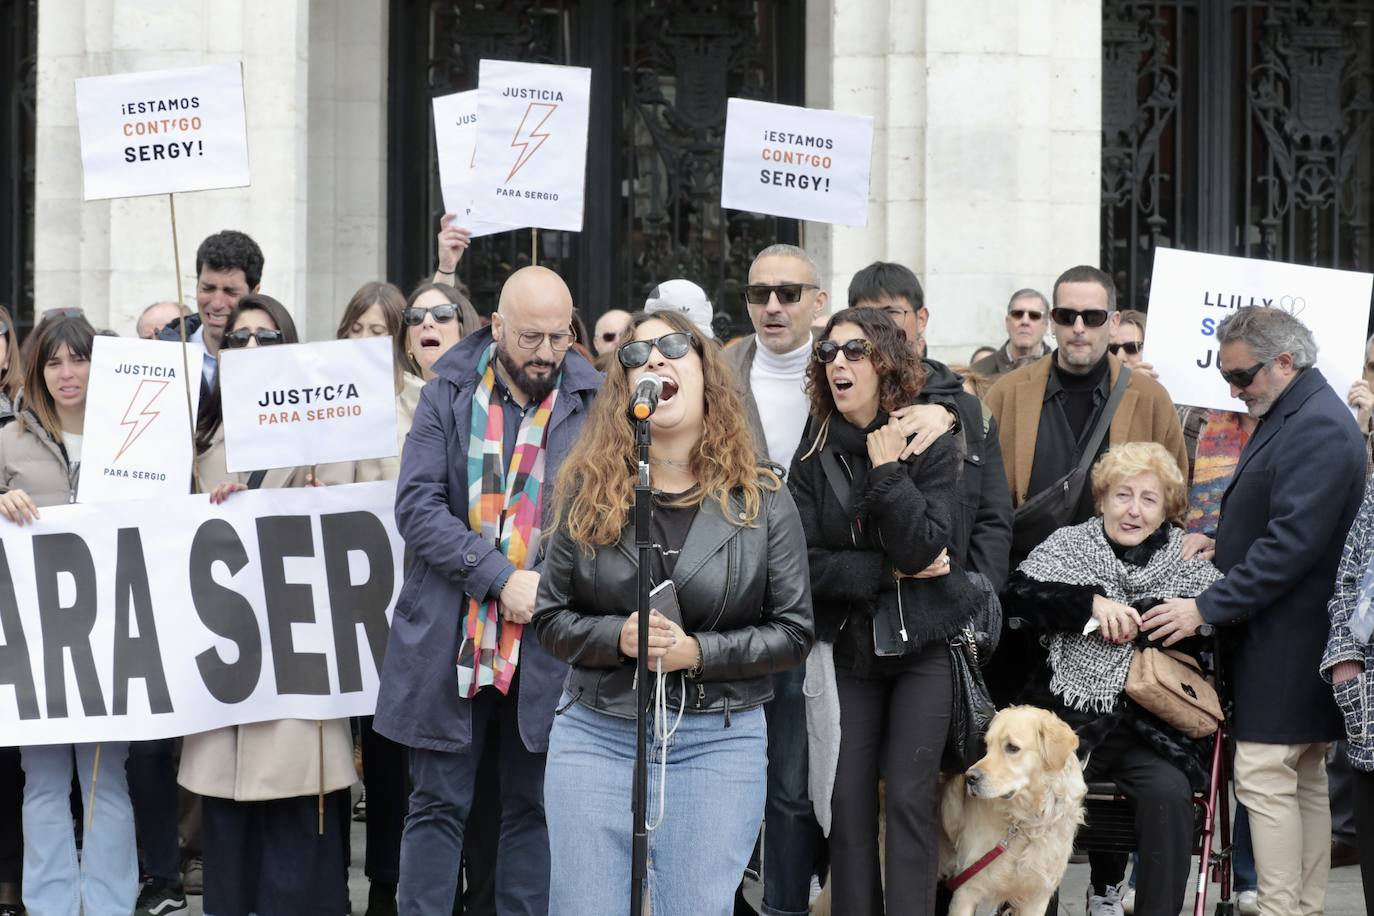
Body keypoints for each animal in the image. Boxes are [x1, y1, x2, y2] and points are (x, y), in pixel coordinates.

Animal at [939, 708, 1088, 916]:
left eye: (1012, 748)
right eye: (987, 746)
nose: (970, 777)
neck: (1026, 821)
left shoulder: (1037, 896)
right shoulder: (966, 890)